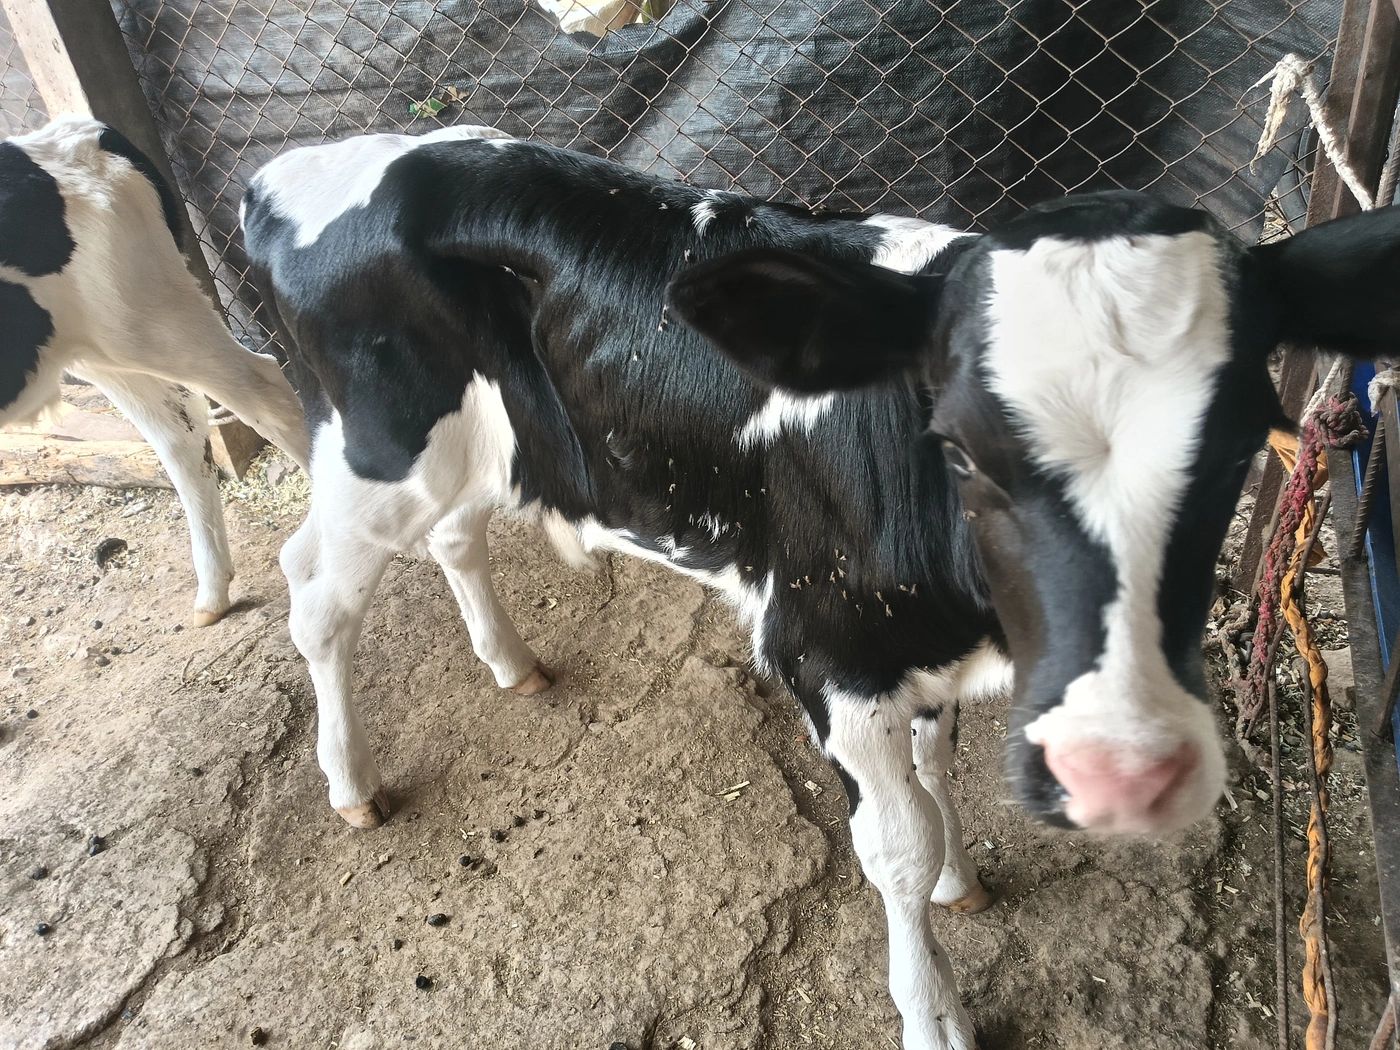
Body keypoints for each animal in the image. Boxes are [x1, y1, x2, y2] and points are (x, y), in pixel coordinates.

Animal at [0, 117, 309, 625]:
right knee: (178, 433)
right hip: (94, 348)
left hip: (141, 317)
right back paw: (212, 594)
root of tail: (85, 131)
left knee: (259, 385)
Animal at [241, 125, 1400, 1050]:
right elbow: (894, 845)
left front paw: (958, 878)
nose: (1120, 771)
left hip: (475, 449)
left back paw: (509, 662)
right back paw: (350, 782)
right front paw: (933, 1012)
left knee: (453, 535)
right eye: (957, 447)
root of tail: (293, 166)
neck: (962, 615)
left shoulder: (918, 658)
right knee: (316, 591)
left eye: (1242, 440)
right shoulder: (826, 654)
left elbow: (934, 777)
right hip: (376, 449)